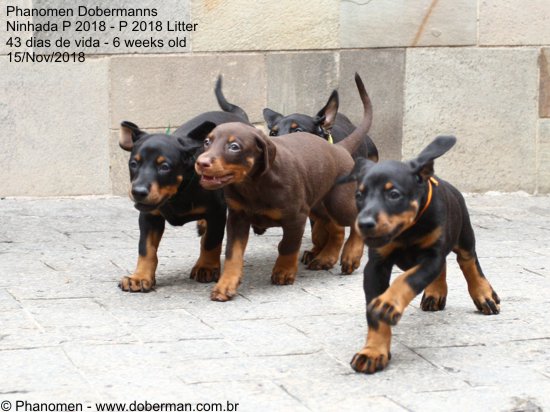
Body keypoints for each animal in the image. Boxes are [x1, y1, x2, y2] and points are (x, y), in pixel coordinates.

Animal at [117, 78, 250, 292]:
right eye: (134, 164)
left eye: (164, 167)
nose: (138, 192)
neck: (177, 194)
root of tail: (238, 116)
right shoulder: (149, 215)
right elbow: (146, 249)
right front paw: (139, 277)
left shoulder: (217, 211)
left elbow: (212, 242)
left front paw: (206, 267)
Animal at [193, 73, 373, 301]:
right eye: (207, 142)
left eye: (234, 147)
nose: (201, 163)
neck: (253, 184)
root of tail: (338, 148)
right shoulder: (237, 217)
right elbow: (233, 254)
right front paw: (225, 286)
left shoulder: (296, 216)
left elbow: (288, 246)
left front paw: (284, 272)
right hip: (317, 205)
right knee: (335, 228)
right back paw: (325, 258)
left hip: (337, 202)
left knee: (353, 221)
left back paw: (351, 255)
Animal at [337, 136, 500, 373]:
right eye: (359, 195)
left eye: (394, 194)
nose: (364, 224)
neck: (407, 230)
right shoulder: (376, 266)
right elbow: (374, 314)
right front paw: (373, 352)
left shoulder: (431, 257)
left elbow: (408, 279)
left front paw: (388, 303)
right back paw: (435, 294)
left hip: (464, 235)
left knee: (468, 262)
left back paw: (484, 294)